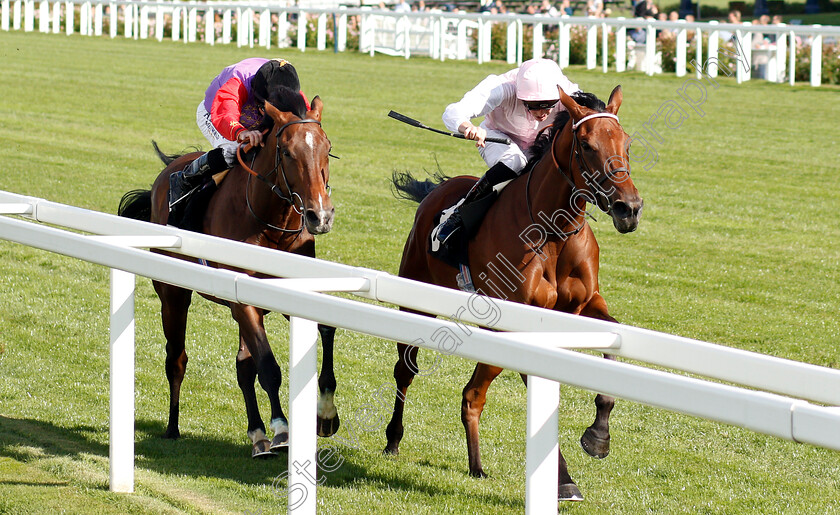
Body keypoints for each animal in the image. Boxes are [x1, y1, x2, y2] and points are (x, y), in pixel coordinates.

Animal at [118, 92, 342, 460]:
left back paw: (257, 434)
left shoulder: (286, 293)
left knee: (242, 365)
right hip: (173, 294)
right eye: (287, 153)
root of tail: (166, 173)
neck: (271, 225)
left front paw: (325, 414)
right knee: (177, 358)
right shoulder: (243, 300)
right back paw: (173, 426)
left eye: (327, 148)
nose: (319, 216)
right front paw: (282, 429)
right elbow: (268, 366)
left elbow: (325, 328)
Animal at [388, 86, 644, 502]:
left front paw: (598, 437)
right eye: (587, 146)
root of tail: (437, 190)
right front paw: (564, 477)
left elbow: (612, 351)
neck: (553, 231)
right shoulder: (516, 317)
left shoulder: (584, 306)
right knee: (412, 373)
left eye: (627, 142)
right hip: (415, 299)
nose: (629, 208)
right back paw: (397, 440)